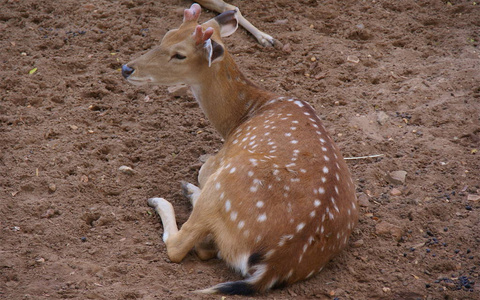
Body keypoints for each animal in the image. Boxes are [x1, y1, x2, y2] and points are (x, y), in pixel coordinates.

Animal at [122, 4, 358, 296]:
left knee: (184, 247)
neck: (240, 119)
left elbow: (202, 168)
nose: (126, 68)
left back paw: (171, 197)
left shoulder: (214, 165)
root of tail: (274, 265)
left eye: (180, 54)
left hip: (224, 183)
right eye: (166, 34)